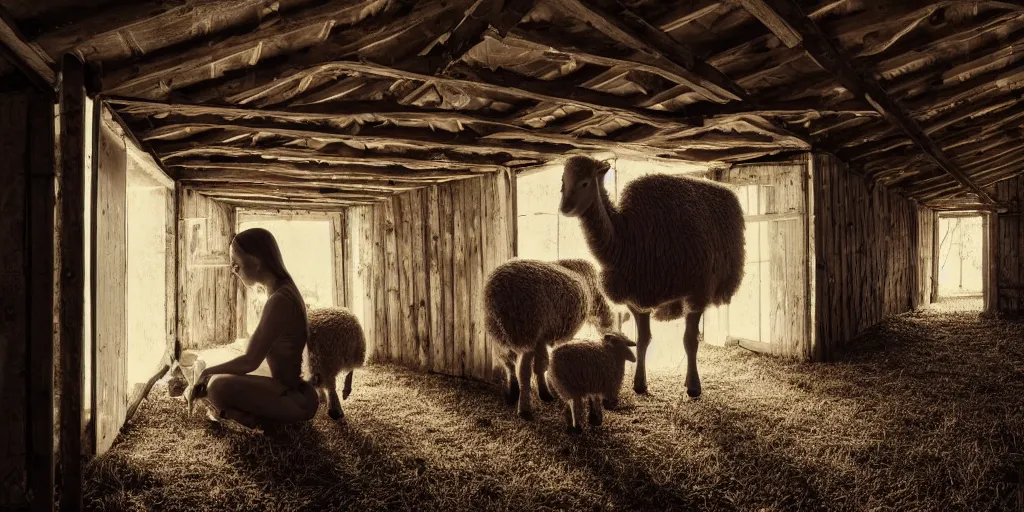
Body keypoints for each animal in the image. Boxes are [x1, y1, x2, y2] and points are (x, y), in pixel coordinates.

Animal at [485, 256, 614, 419]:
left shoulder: (541, 338)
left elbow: (542, 365)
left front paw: (545, 392)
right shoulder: (545, 337)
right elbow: (544, 364)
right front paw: (548, 391)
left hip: (499, 335)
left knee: (508, 363)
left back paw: (513, 394)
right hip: (527, 332)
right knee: (523, 372)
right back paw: (524, 409)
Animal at [561, 155, 745, 399]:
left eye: (585, 183)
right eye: (563, 181)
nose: (565, 208)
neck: (625, 239)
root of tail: (723, 189)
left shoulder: (693, 292)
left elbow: (688, 341)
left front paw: (693, 388)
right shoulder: (637, 299)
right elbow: (642, 341)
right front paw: (640, 384)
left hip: (701, 288)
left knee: (691, 338)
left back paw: (691, 382)